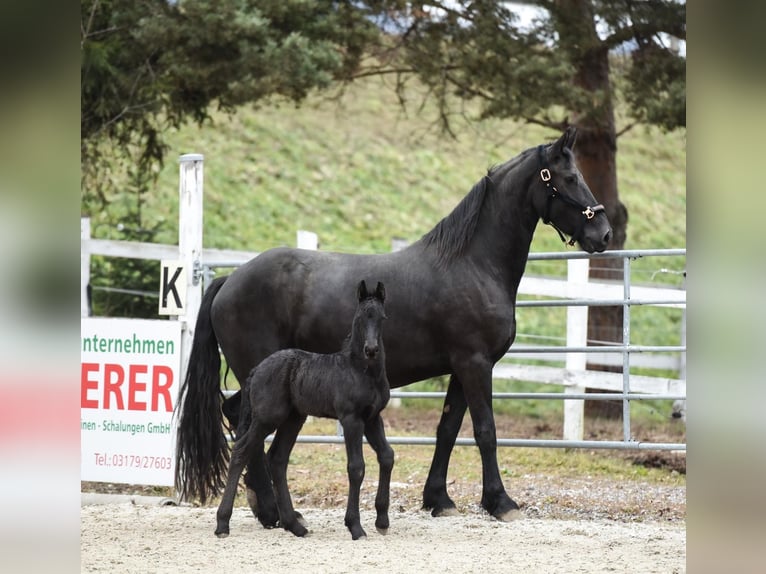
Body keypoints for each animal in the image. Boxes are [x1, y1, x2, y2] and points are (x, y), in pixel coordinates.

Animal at [214, 280, 392, 540]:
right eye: (359, 318)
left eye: (382, 318)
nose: (371, 350)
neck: (361, 370)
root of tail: (257, 369)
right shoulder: (352, 419)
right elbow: (356, 467)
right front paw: (355, 527)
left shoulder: (372, 418)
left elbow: (387, 456)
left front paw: (382, 521)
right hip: (267, 418)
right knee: (241, 451)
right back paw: (222, 524)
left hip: (293, 419)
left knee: (277, 459)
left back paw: (294, 526)